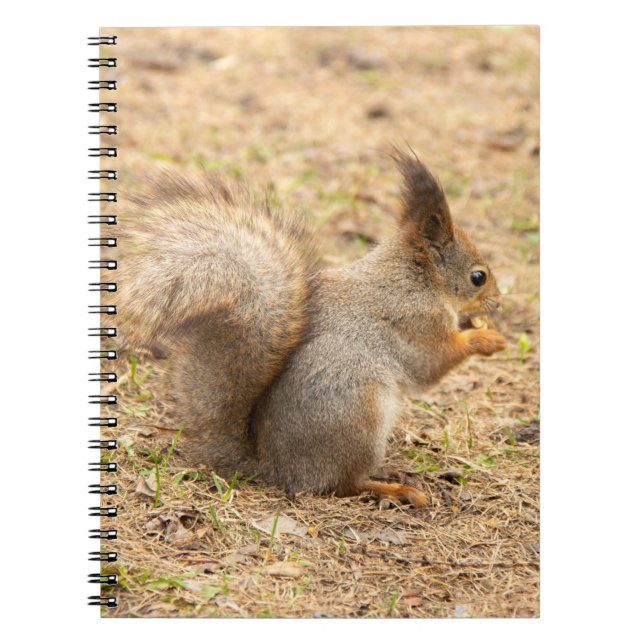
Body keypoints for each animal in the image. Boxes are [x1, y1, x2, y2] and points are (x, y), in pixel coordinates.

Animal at [115, 148, 506, 508]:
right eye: (478, 277)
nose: (498, 304)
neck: (416, 278)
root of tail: (276, 469)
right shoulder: (415, 321)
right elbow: (432, 364)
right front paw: (486, 338)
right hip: (358, 417)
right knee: (342, 485)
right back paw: (394, 489)